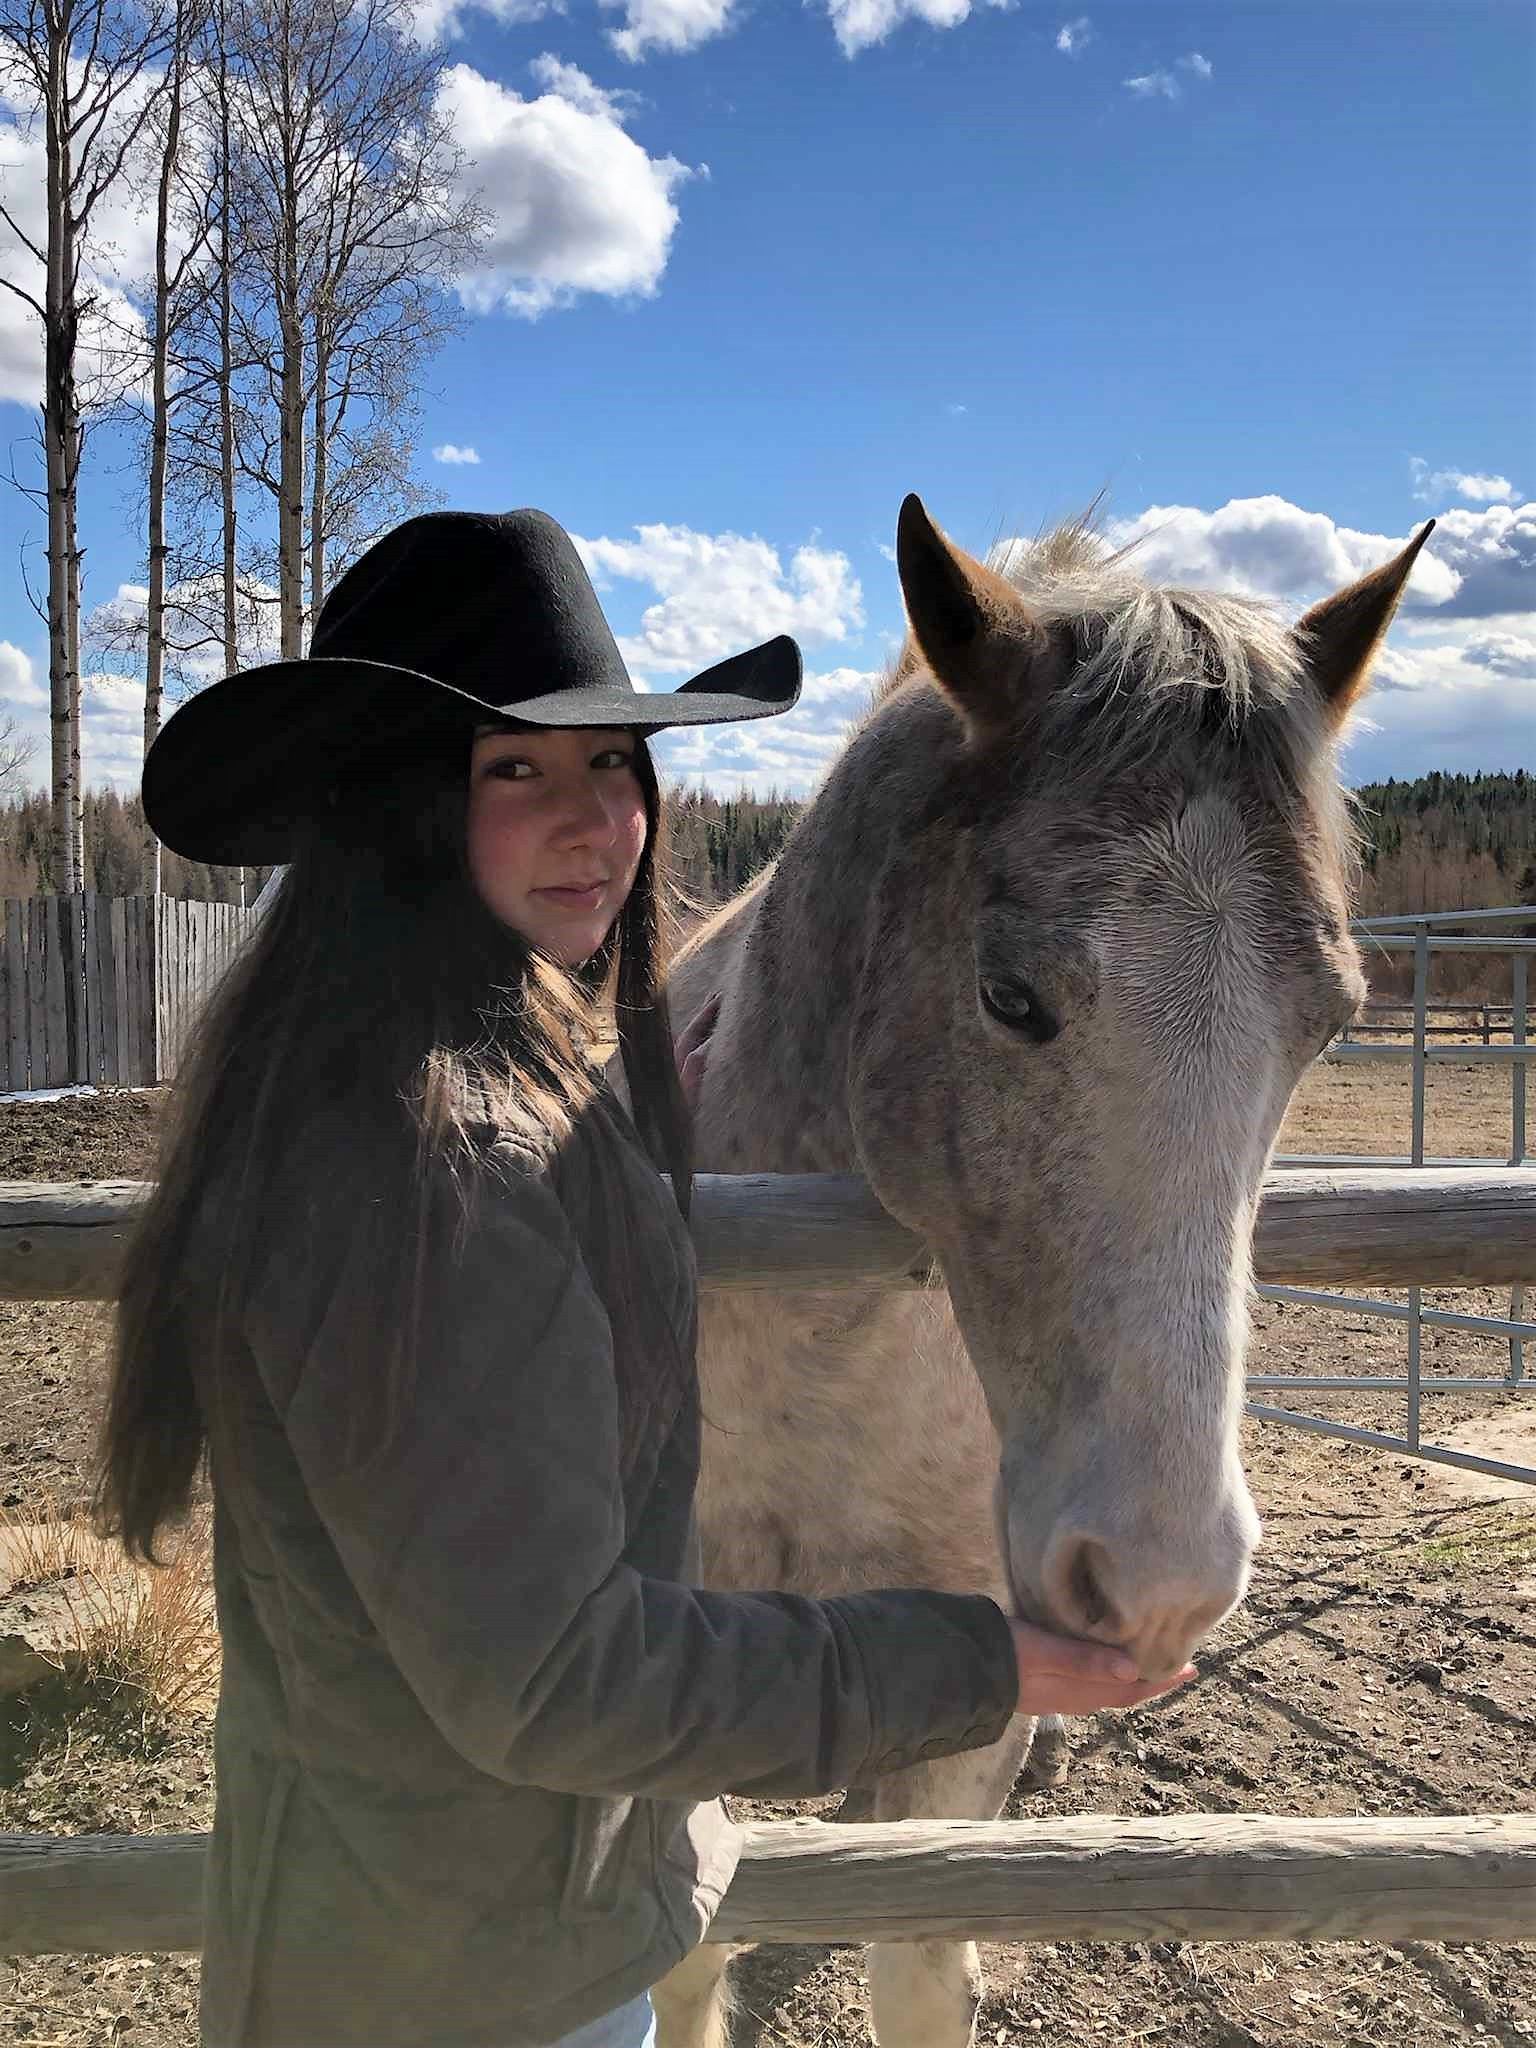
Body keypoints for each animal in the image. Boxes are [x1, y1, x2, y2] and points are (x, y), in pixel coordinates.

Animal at [650, 495, 1429, 2048]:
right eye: (1009, 996)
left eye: (1332, 1020)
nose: (1162, 1580)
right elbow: (691, 1960)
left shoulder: (960, 1753)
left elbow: (916, 1966)